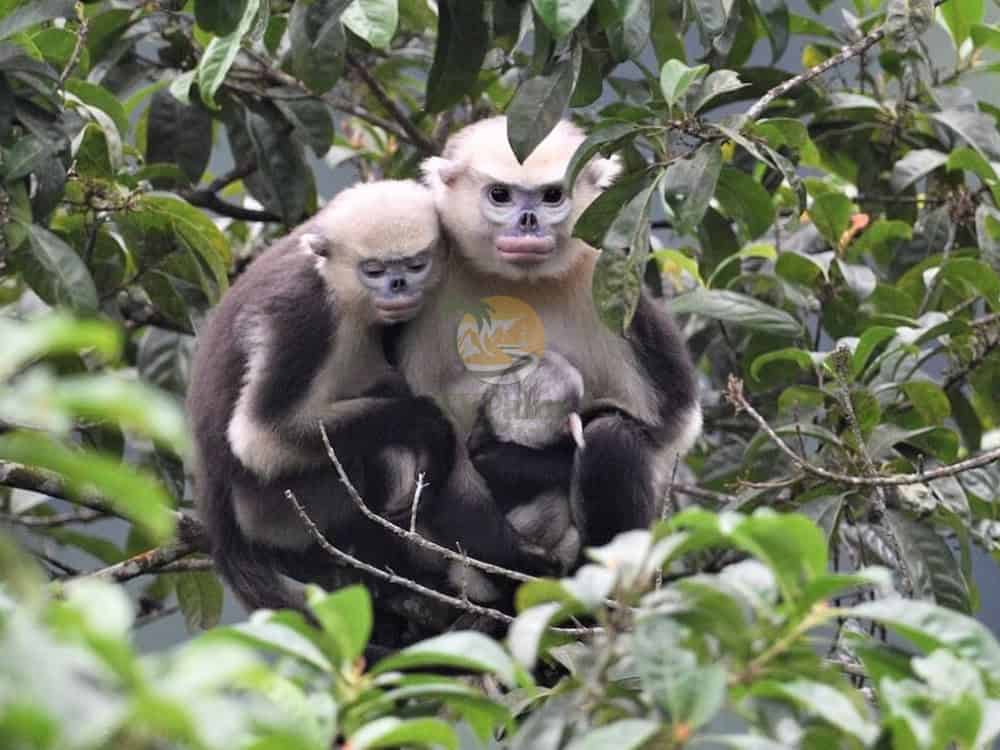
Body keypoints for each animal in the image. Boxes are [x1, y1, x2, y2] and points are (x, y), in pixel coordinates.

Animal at [187, 180, 553, 614]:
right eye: (374, 271)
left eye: (414, 266)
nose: (399, 286)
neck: (332, 281)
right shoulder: (302, 314)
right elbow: (259, 437)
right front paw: (429, 426)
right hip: (276, 508)